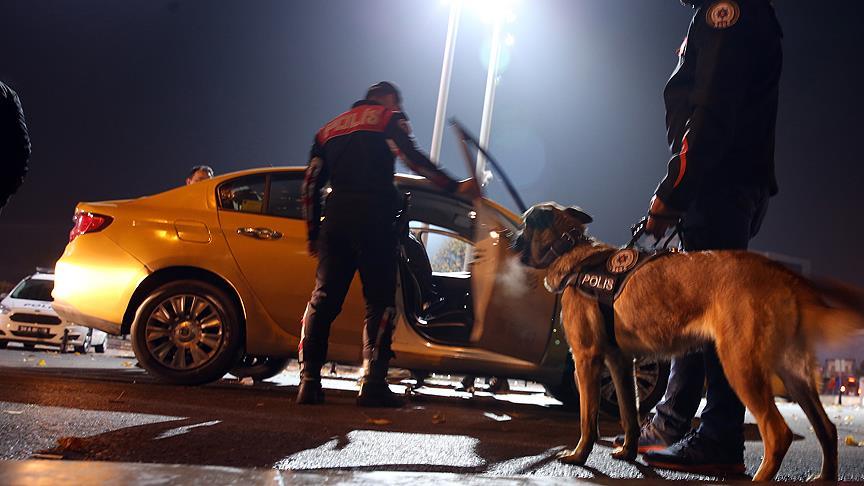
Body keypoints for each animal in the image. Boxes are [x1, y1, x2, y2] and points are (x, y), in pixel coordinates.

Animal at [512, 202, 864, 482]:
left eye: (524, 224)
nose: (510, 239)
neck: (570, 249)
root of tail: (783, 273)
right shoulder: (622, 364)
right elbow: (630, 414)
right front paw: (628, 452)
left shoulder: (586, 358)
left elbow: (588, 418)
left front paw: (578, 455)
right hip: (795, 378)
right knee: (828, 429)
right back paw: (826, 477)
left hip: (740, 367)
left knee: (778, 434)